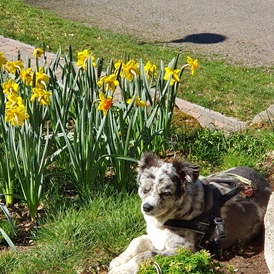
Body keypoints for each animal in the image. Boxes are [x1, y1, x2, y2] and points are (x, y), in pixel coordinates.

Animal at [108, 152, 270, 274]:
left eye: (165, 193)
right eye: (145, 189)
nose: (147, 207)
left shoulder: (184, 249)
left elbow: (145, 255)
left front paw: (122, 269)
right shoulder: (157, 237)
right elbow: (137, 241)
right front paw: (119, 260)